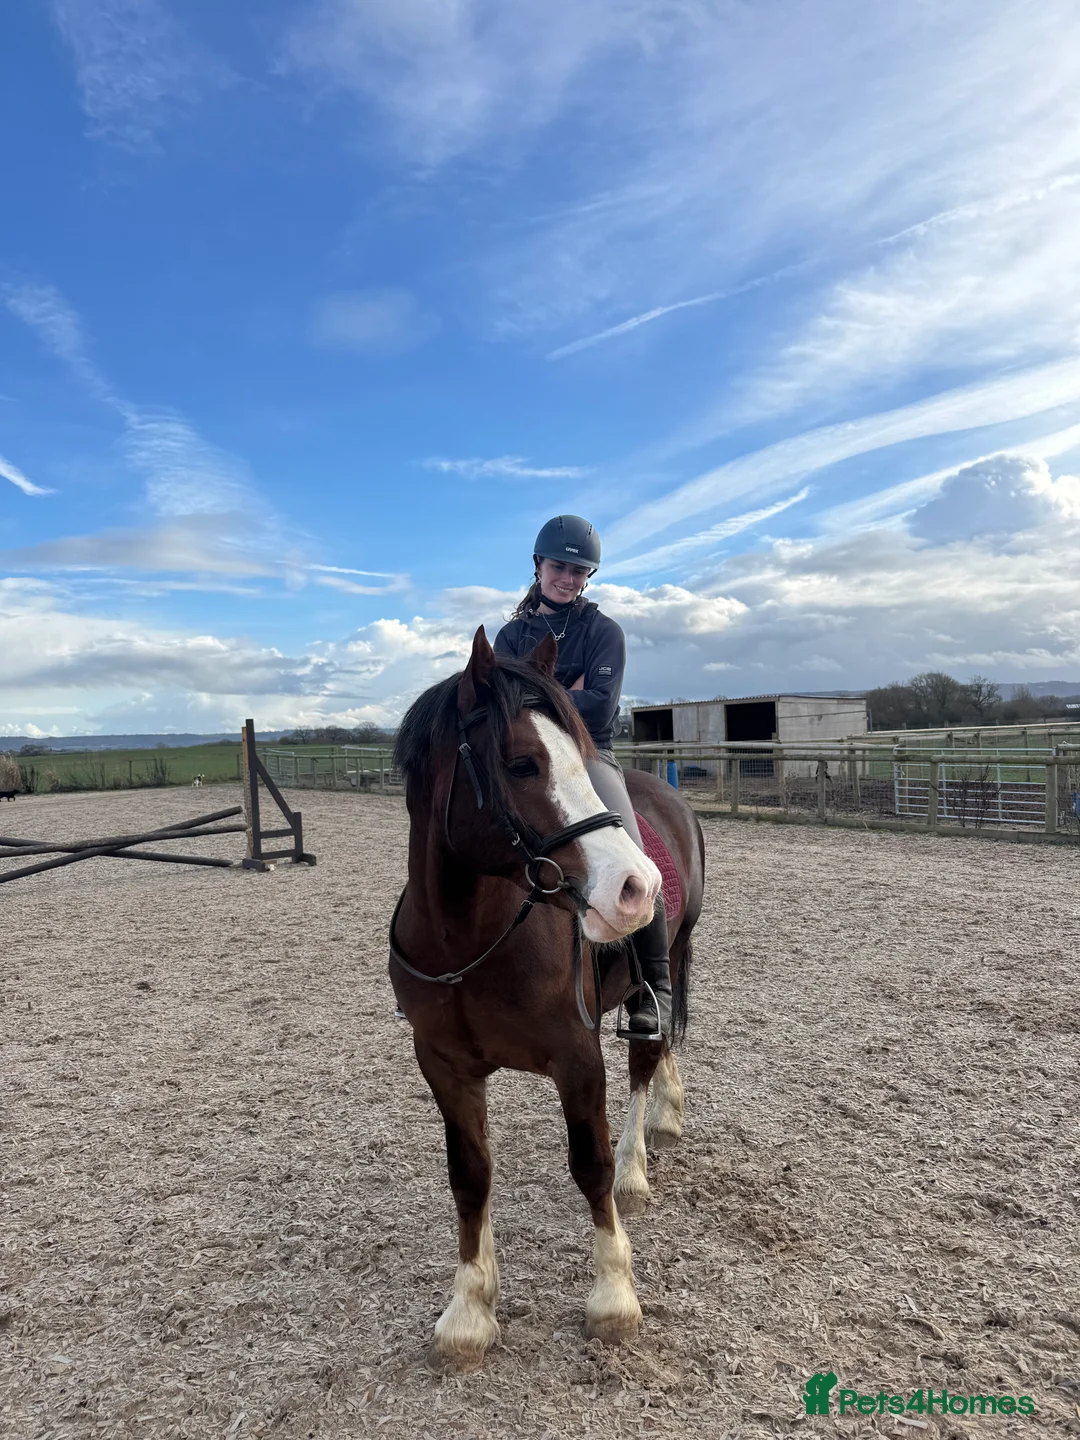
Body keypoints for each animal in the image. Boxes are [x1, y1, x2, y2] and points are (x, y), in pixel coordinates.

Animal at [389, 627, 705, 1371]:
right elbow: (470, 1175)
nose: (637, 886)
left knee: (648, 1053)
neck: (467, 940)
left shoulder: (576, 1057)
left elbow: (589, 1163)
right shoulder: (443, 1065)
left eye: (579, 760)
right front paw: (469, 1312)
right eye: (521, 764)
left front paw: (614, 1298)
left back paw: (637, 1168)